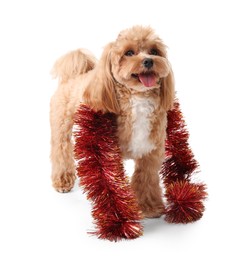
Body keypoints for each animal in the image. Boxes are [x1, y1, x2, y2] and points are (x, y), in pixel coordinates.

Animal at [49, 25, 174, 217]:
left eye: (154, 51)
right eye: (129, 53)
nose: (148, 61)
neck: (138, 99)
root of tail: (73, 76)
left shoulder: (151, 151)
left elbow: (146, 179)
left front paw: (150, 207)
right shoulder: (109, 151)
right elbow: (112, 180)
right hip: (61, 125)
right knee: (61, 151)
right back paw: (63, 180)